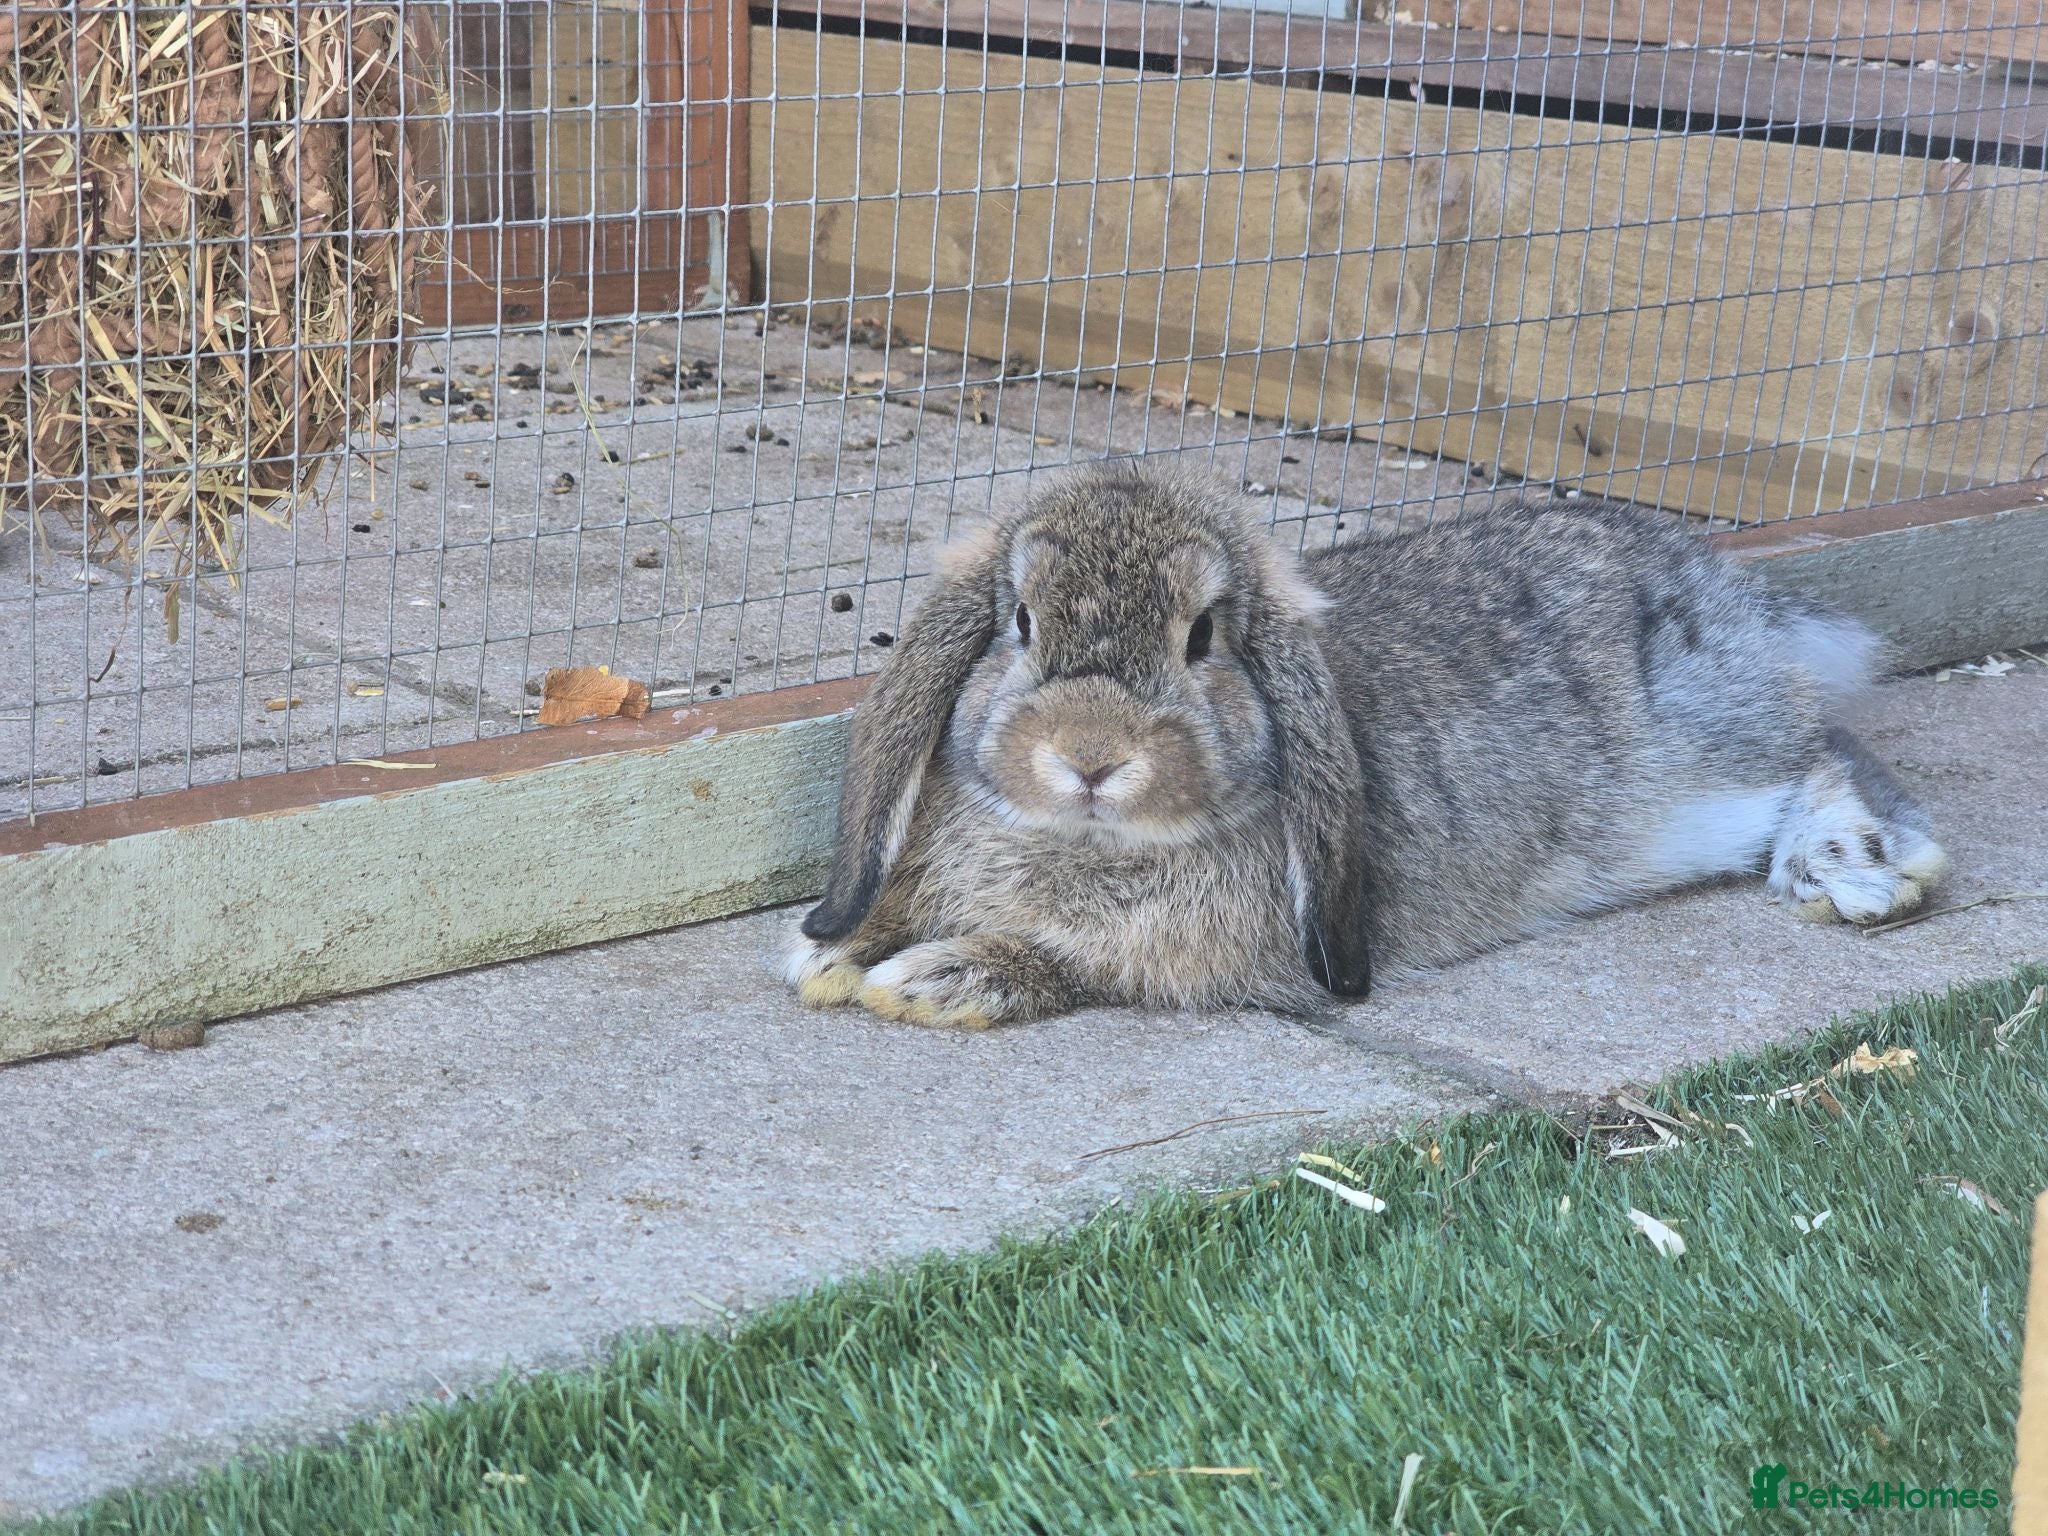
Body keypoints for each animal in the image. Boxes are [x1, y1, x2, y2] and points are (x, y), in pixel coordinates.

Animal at [786, 461, 1947, 1028]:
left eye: (1202, 636)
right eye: (1019, 623)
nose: (1091, 756)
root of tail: (1720, 583)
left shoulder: (1218, 958)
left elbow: (1086, 966)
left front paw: (931, 979)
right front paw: (837, 950)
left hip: (1691, 784)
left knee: (1824, 749)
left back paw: (1859, 873)